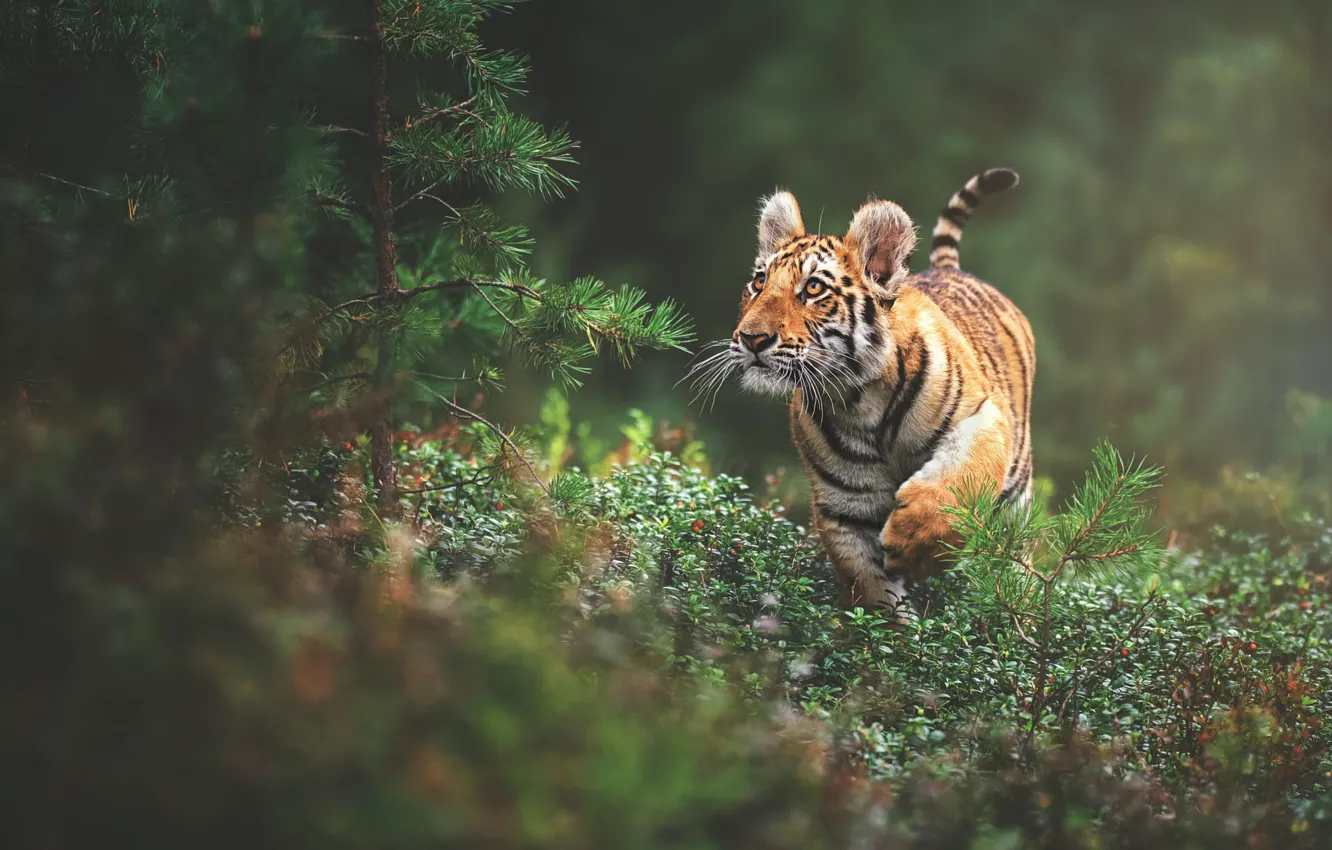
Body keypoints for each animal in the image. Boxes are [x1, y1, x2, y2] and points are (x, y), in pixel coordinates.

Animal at [720, 168, 1034, 617]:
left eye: (812, 289)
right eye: (759, 282)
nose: (750, 338)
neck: (859, 399)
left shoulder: (982, 415)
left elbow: (957, 481)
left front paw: (914, 543)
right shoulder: (845, 509)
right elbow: (872, 592)